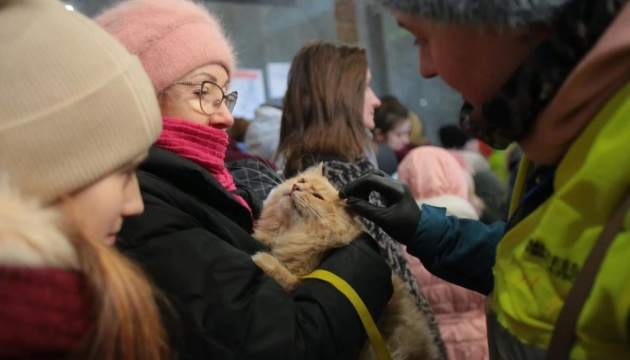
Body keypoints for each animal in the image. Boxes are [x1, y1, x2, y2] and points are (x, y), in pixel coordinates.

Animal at [252, 165, 440, 360]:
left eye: (317, 196)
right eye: (301, 181)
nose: (296, 187)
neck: (292, 233)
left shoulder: (301, 279)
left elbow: (286, 276)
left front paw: (262, 258)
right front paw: (261, 238)